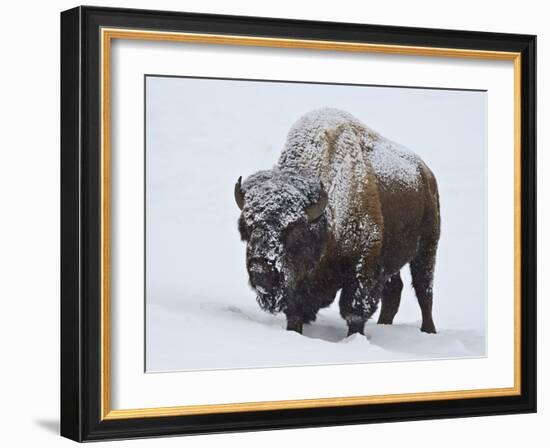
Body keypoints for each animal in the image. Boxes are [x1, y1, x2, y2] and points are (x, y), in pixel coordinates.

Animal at [235, 109, 442, 336]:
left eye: (295, 232)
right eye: (247, 228)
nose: (260, 270)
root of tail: (426, 173)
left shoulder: (363, 266)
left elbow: (354, 311)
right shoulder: (300, 284)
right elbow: (295, 311)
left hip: (427, 248)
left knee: (424, 290)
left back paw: (429, 330)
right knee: (394, 291)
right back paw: (384, 325)